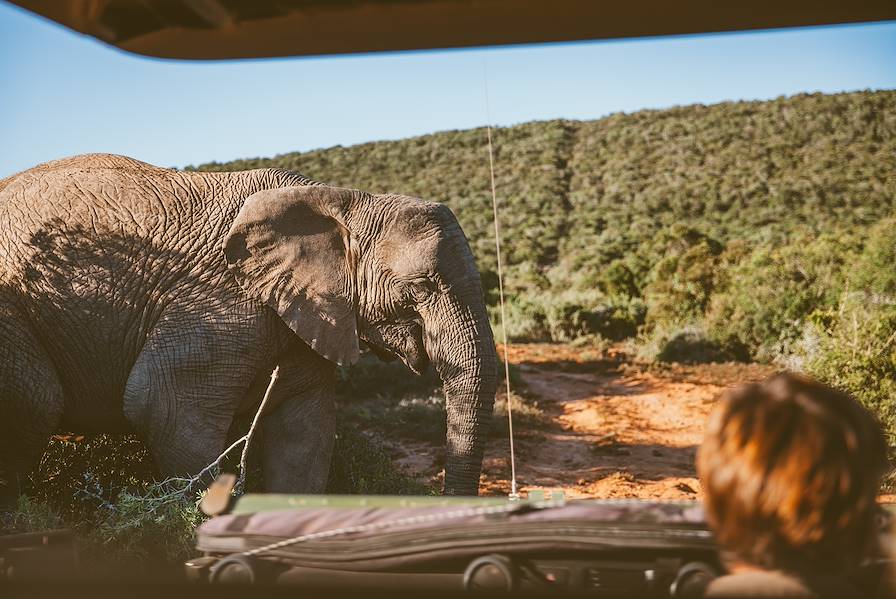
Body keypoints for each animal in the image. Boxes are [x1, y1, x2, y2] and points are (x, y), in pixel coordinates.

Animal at [0, 152, 496, 500]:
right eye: (422, 286)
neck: (342, 201)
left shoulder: (303, 312)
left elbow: (305, 432)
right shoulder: (217, 301)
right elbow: (164, 405)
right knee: (38, 404)